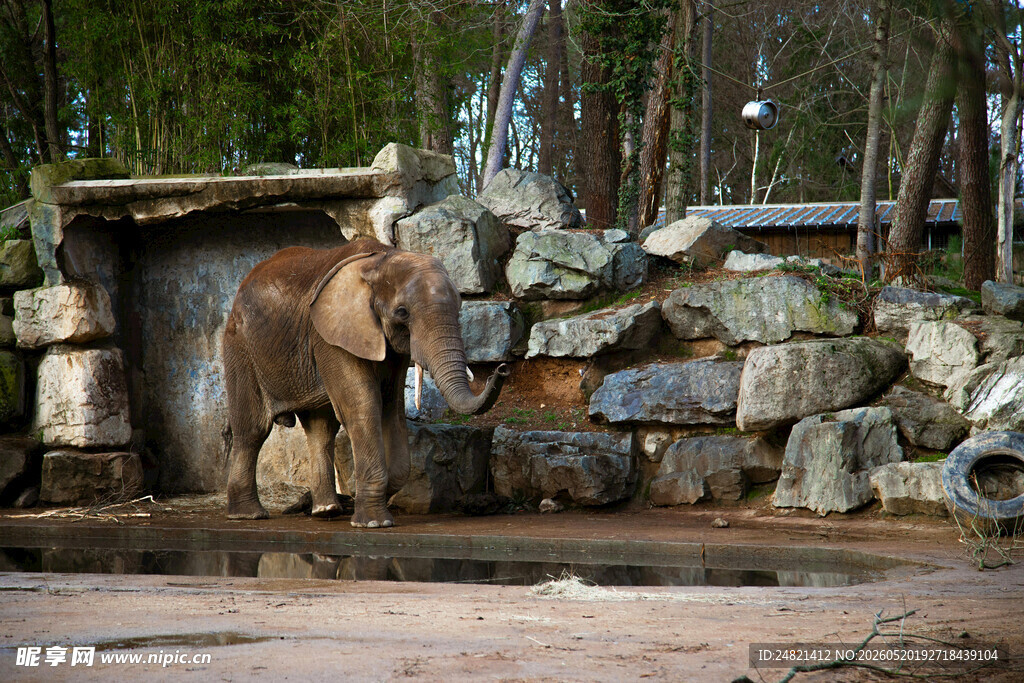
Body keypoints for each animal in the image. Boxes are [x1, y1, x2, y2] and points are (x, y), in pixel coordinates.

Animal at [223, 238, 509, 527]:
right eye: (402, 312)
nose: (502, 369)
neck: (382, 258)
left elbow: (392, 408)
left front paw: (374, 500)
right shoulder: (330, 335)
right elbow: (363, 406)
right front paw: (373, 523)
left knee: (321, 427)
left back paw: (326, 511)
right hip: (240, 345)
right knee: (253, 429)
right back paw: (248, 514)